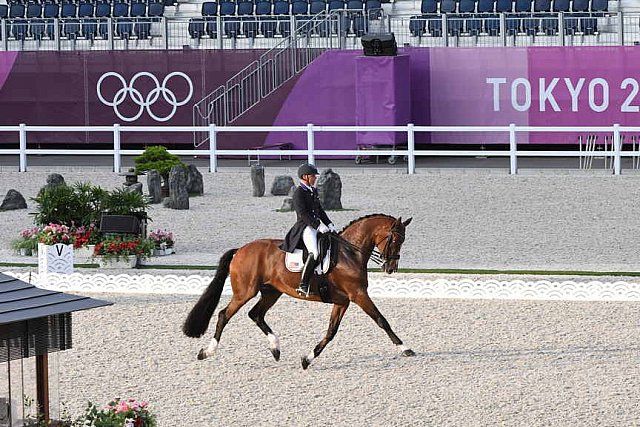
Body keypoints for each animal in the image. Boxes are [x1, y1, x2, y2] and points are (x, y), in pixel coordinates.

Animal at [182, 216, 418, 370]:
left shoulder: (343, 301)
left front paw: (307, 359)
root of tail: (240, 250)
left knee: (256, 314)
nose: (391, 268)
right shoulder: (358, 295)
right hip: (245, 292)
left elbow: (331, 332)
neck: (349, 253)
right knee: (224, 315)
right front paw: (405, 349)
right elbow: (381, 320)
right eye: (395, 239)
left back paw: (275, 349)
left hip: (271, 292)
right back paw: (206, 352)